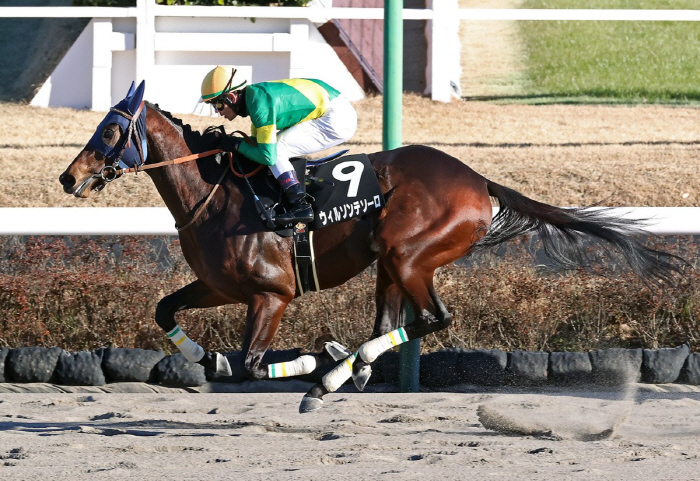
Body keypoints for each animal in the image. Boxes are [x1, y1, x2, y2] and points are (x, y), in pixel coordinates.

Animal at [60, 83, 684, 412]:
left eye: (111, 131)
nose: (69, 178)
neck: (217, 192)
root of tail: (479, 180)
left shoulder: (272, 294)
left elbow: (252, 364)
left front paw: (305, 360)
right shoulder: (220, 286)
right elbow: (164, 309)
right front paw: (203, 355)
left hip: (407, 252)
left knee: (434, 318)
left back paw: (333, 372)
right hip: (391, 261)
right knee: (394, 320)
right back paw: (346, 368)